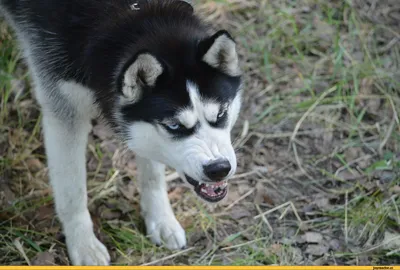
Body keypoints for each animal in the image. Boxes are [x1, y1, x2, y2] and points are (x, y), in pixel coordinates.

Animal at [0, 0, 241, 266]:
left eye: (221, 114)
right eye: (174, 126)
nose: (219, 168)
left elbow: (152, 174)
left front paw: (160, 220)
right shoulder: (64, 111)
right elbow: (72, 192)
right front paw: (83, 244)